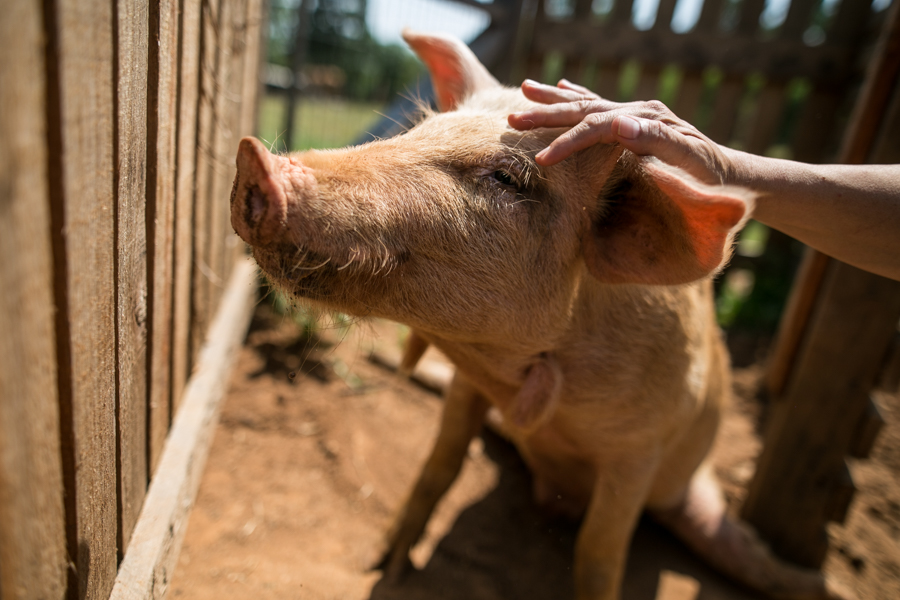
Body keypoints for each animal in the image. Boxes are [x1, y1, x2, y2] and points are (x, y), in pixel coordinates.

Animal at [229, 30, 840, 596]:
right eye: (420, 129)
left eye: (508, 178)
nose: (254, 158)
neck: (543, 396)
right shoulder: (469, 387)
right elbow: (438, 468)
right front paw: (383, 566)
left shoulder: (640, 450)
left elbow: (599, 551)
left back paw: (819, 581)